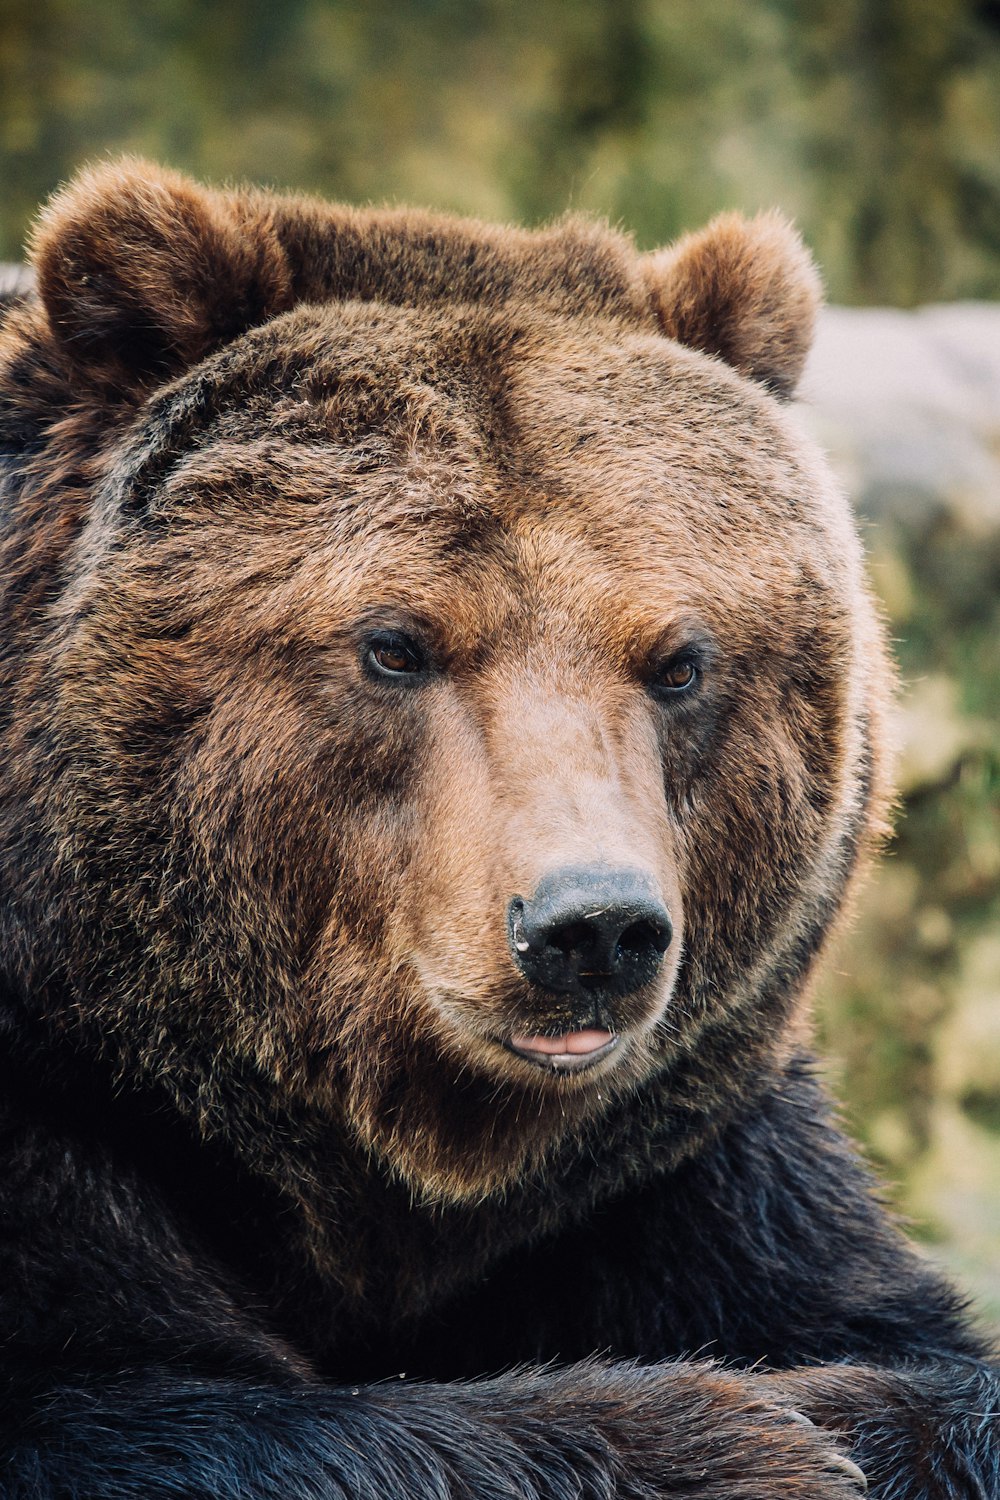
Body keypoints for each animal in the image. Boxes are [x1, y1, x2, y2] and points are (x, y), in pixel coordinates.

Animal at [0, 158, 995, 1494]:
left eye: (678, 660)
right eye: (394, 643)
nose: (590, 928)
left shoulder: (674, 1169)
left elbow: (904, 1339)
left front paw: (834, 1412)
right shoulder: (55, 1130)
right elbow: (127, 1402)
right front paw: (738, 1435)